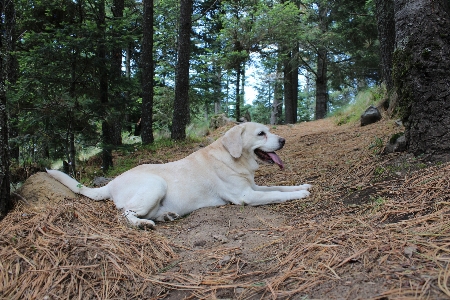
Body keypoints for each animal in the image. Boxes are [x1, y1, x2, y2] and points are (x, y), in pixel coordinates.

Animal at [47, 122, 312, 227]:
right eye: (260, 134)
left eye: (270, 130)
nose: (283, 140)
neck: (233, 158)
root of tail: (111, 183)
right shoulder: (246, 196)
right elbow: (277, 194)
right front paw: (299, 195)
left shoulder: (254, 188)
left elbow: (279, 187)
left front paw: (303, 186)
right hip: (155, 185)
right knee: (125, 215)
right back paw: (142, 224)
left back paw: (165, 216)